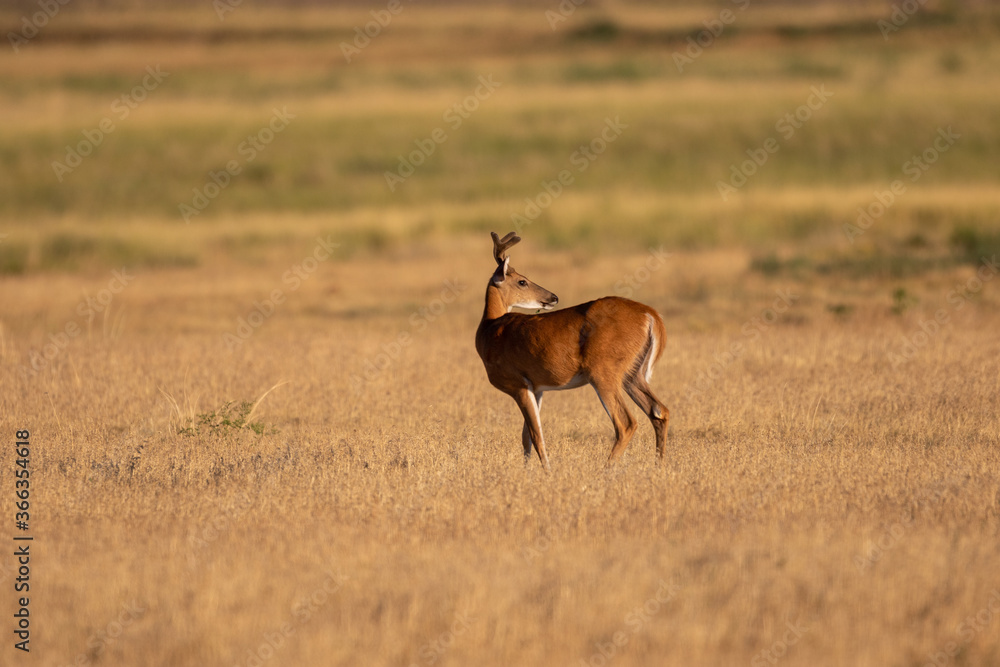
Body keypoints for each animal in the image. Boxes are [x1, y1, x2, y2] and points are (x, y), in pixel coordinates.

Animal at [475, 231, 669, 470]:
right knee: (659, 411)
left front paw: (547, 471)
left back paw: (606, 470)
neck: (489, 328)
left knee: (626, 423)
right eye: (522, 281)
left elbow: (536, 434)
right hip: (633, 373)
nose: (553, 297)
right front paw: (528, 470)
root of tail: (651, 315)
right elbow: (526, 436)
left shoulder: (517, 383)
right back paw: (659, 466)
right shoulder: (535, 387)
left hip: (603, 371)